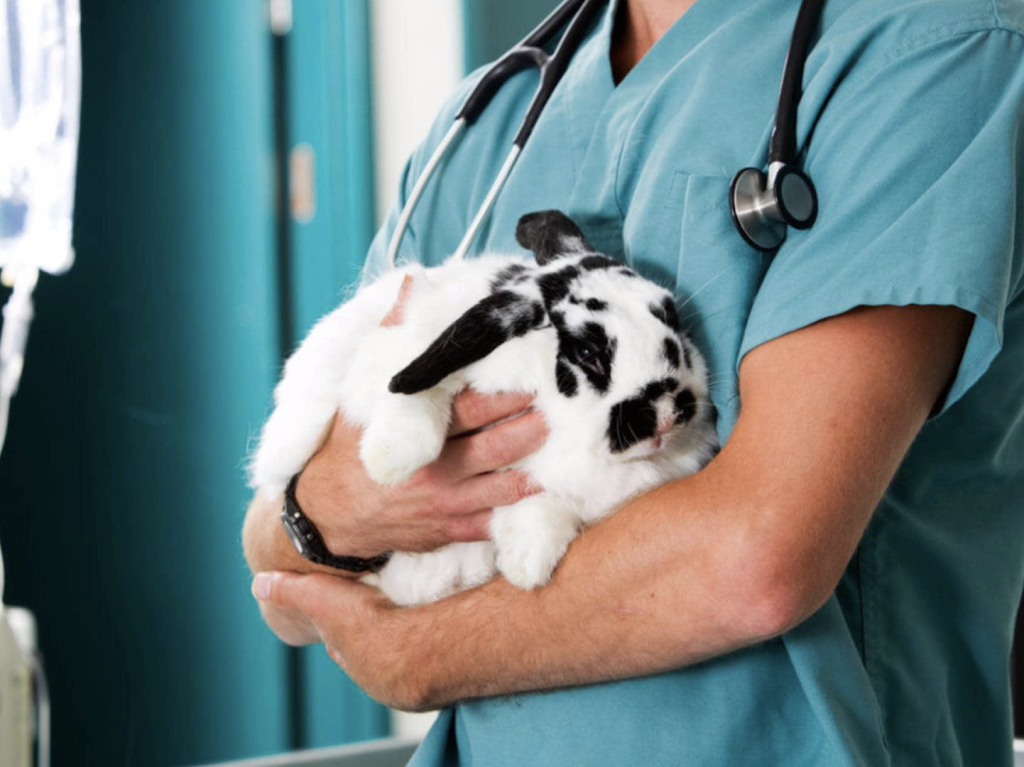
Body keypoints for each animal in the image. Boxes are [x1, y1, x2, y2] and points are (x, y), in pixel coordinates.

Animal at [250, 210, 719, 606]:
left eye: (672, 318)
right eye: (587, 351)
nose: (665, 414)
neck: (564, 424)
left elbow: (542, 503)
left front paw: (527, 562)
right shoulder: (402, 356)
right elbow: (416, 395)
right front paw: (390, 461)